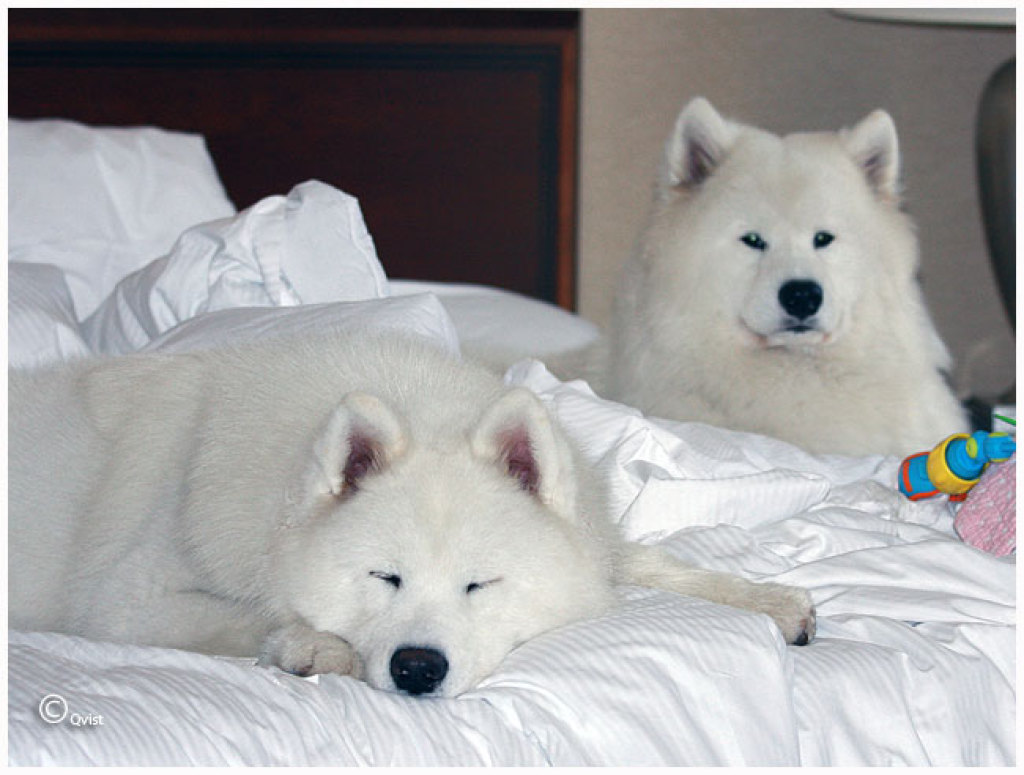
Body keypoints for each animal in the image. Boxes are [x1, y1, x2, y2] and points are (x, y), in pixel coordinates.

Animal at [9, 333, 814, 697]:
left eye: (479, 584)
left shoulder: (597, 544)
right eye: (384, 577)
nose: (417, 668)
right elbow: (252, 615)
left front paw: (768, 600)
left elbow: (646, 561)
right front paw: (312, 644)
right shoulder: (126, 599)